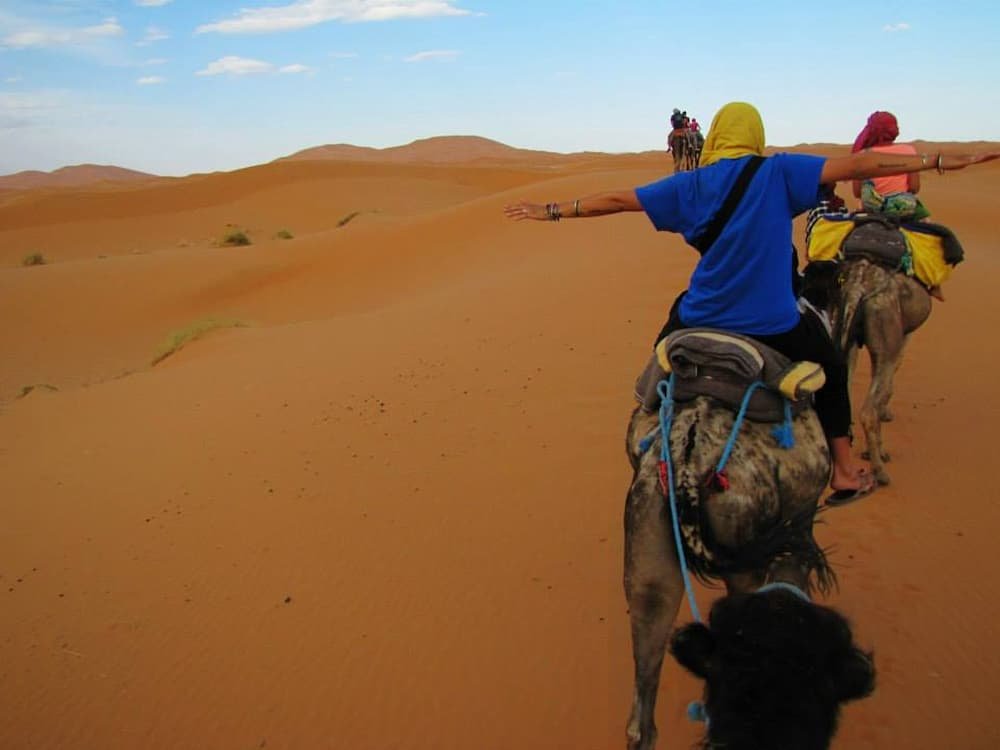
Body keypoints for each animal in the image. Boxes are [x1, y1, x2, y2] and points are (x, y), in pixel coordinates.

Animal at [800, 258, 932, 488]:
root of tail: (858, 288)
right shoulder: (902, 337)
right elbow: (889, 382)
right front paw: (879, 446)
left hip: (843, 329)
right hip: (885, 333)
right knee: (868, 410)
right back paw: (879, 472)